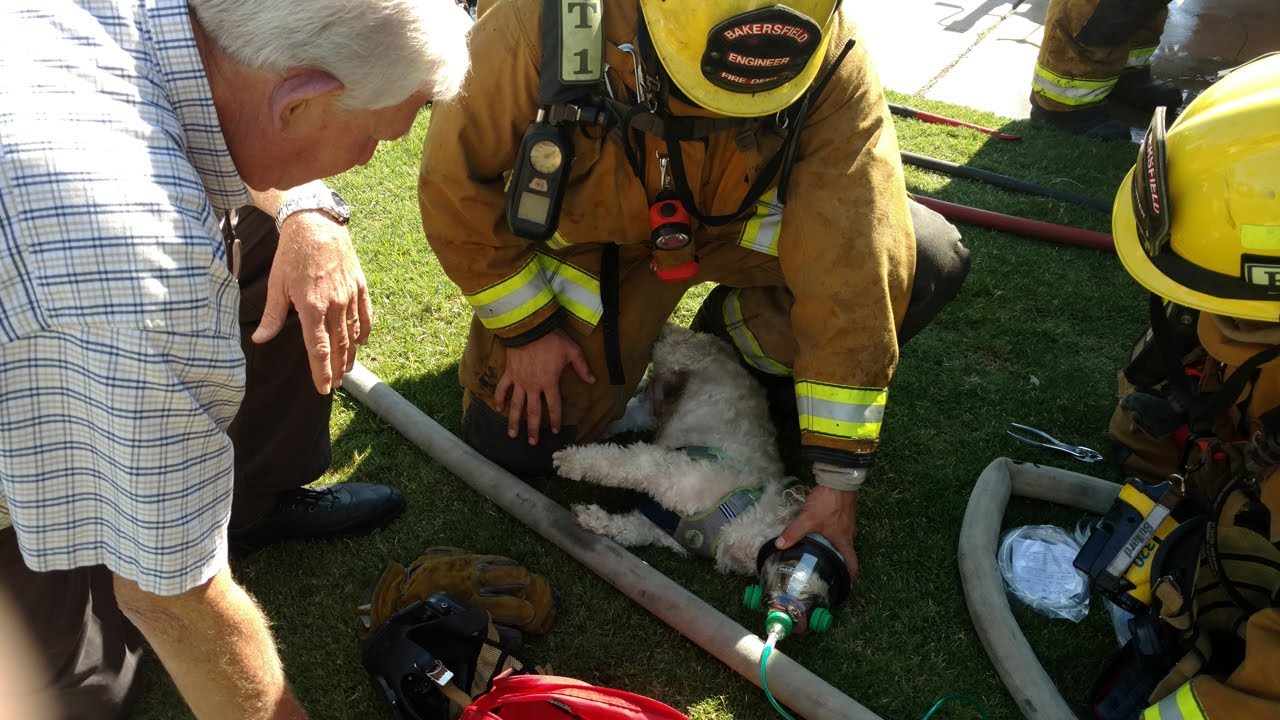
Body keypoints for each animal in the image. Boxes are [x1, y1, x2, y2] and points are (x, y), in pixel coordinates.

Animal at [550, 322, 798, 573]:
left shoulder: (659, 526)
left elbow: (630, 529)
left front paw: (591, 518)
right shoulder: (677, 474)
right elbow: (622, 464)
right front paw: (572, 462)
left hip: (647, 411)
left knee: (622, 415)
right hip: (672, 351)